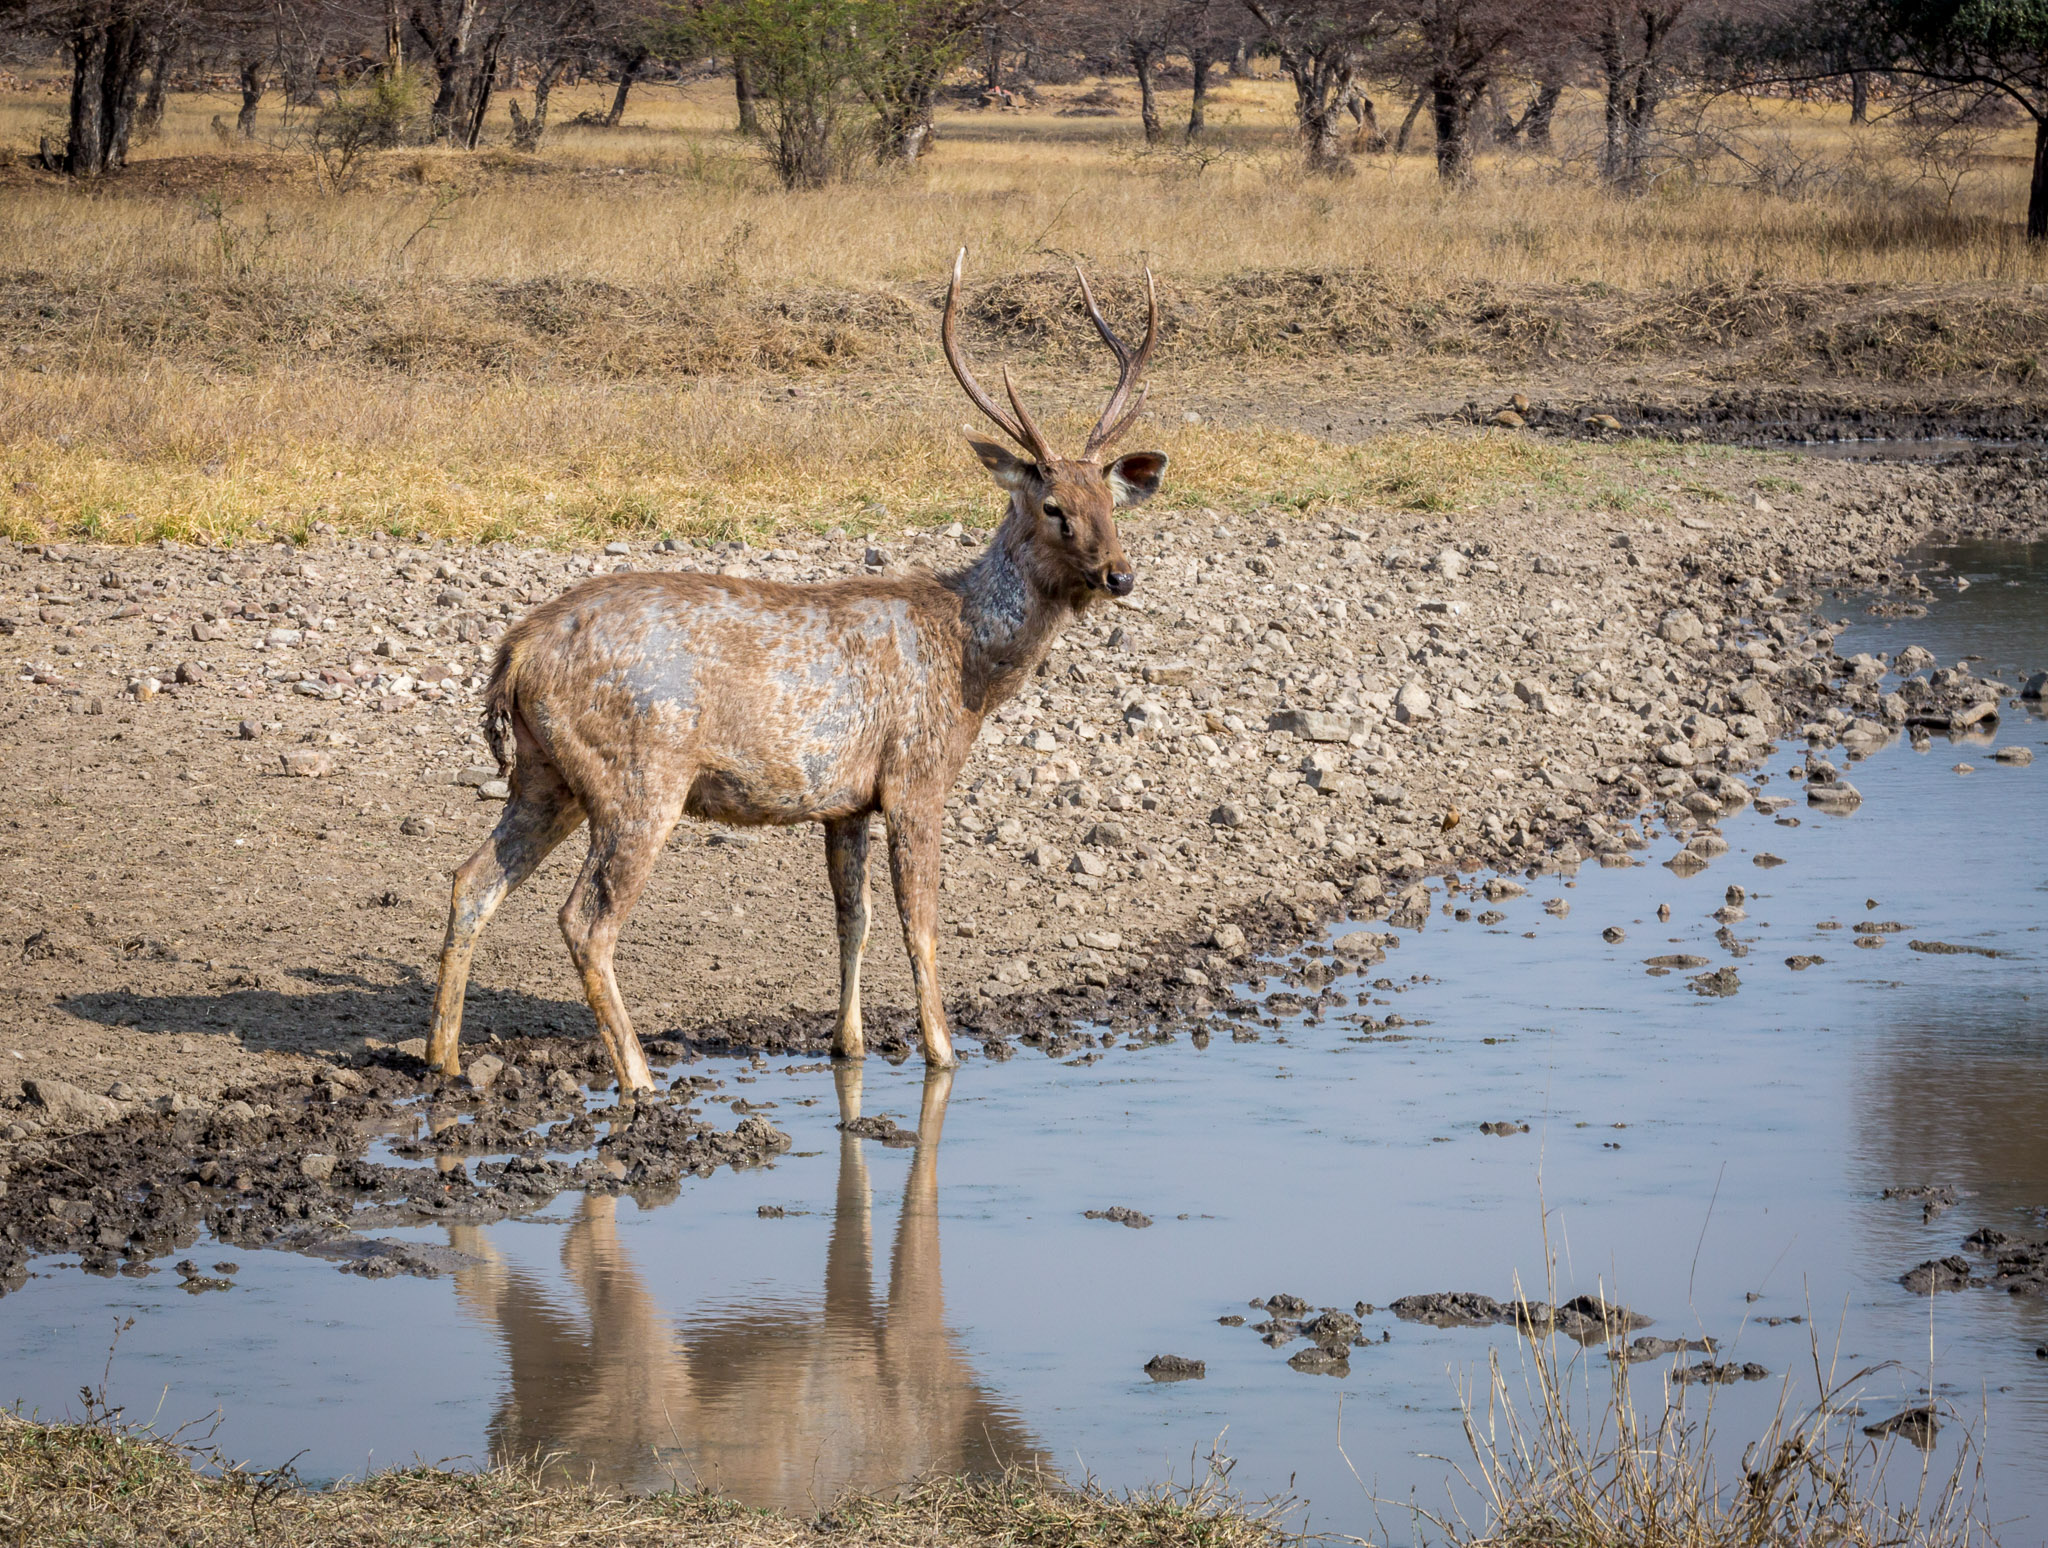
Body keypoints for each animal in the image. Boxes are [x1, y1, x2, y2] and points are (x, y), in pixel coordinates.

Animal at [428, 250, 1171, 1089]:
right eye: (1052, 506)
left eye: (1110, 500)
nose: (1118, 575)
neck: (969, 671)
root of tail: (515, 652)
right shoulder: (915, 775)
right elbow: (920, 921)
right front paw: (942, 1052)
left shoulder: (845, 799)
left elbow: (855, 916)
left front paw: (847, 1043)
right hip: (639, 773)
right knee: (585, 919)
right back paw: (638, 1079)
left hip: (547, 772)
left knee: (471, 880)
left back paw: (443, 1060)